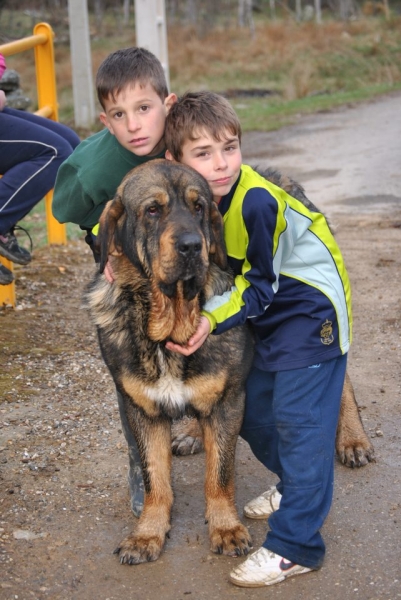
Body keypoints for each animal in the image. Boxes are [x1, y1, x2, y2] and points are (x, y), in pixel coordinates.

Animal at [86, 158, 374, 564]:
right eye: (153, 210)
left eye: (198, 207)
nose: (192, 246)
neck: (172, 320)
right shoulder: (142, 408)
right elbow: (155, 478)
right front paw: (147, 533)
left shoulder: (228, 403)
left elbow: (219, 474)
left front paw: (225, 527)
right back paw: (193, 432)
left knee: (340, 374)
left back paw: (352, 439)